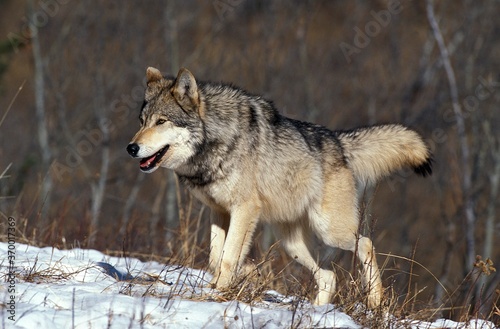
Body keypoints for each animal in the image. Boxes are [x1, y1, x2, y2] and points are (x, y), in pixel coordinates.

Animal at [127, 66, 432, 308]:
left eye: (161, 121)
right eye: (141, 122)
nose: (131, 148)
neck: (215, 140)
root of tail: (338, 141)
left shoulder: (244, 209)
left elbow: (227, 256)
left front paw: (222, 289)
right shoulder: (219, 212)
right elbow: (217, 257)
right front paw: (245, 273)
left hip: (330, 231)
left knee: (366, 243)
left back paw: (375, 301)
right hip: (291, 244)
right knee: (329, 276)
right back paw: (318, 311)